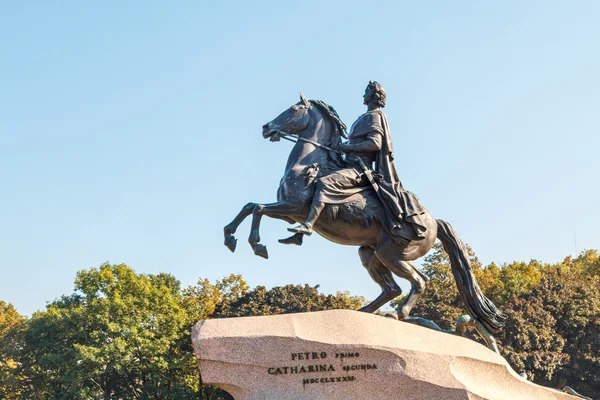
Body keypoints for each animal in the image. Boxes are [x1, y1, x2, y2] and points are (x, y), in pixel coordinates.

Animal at [223, 94, 504, 338]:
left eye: (293, 110)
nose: (266, 127)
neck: (308, 164)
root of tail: (434, 222)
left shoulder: (294, 207)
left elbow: (260, 209)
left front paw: (259, 244)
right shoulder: (288, 212)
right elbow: (250, 206)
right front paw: (230, 238)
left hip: (392, 254)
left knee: (419, 281)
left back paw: (396, 314)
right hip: (371, 253)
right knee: (393, 288)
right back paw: (364, 312)